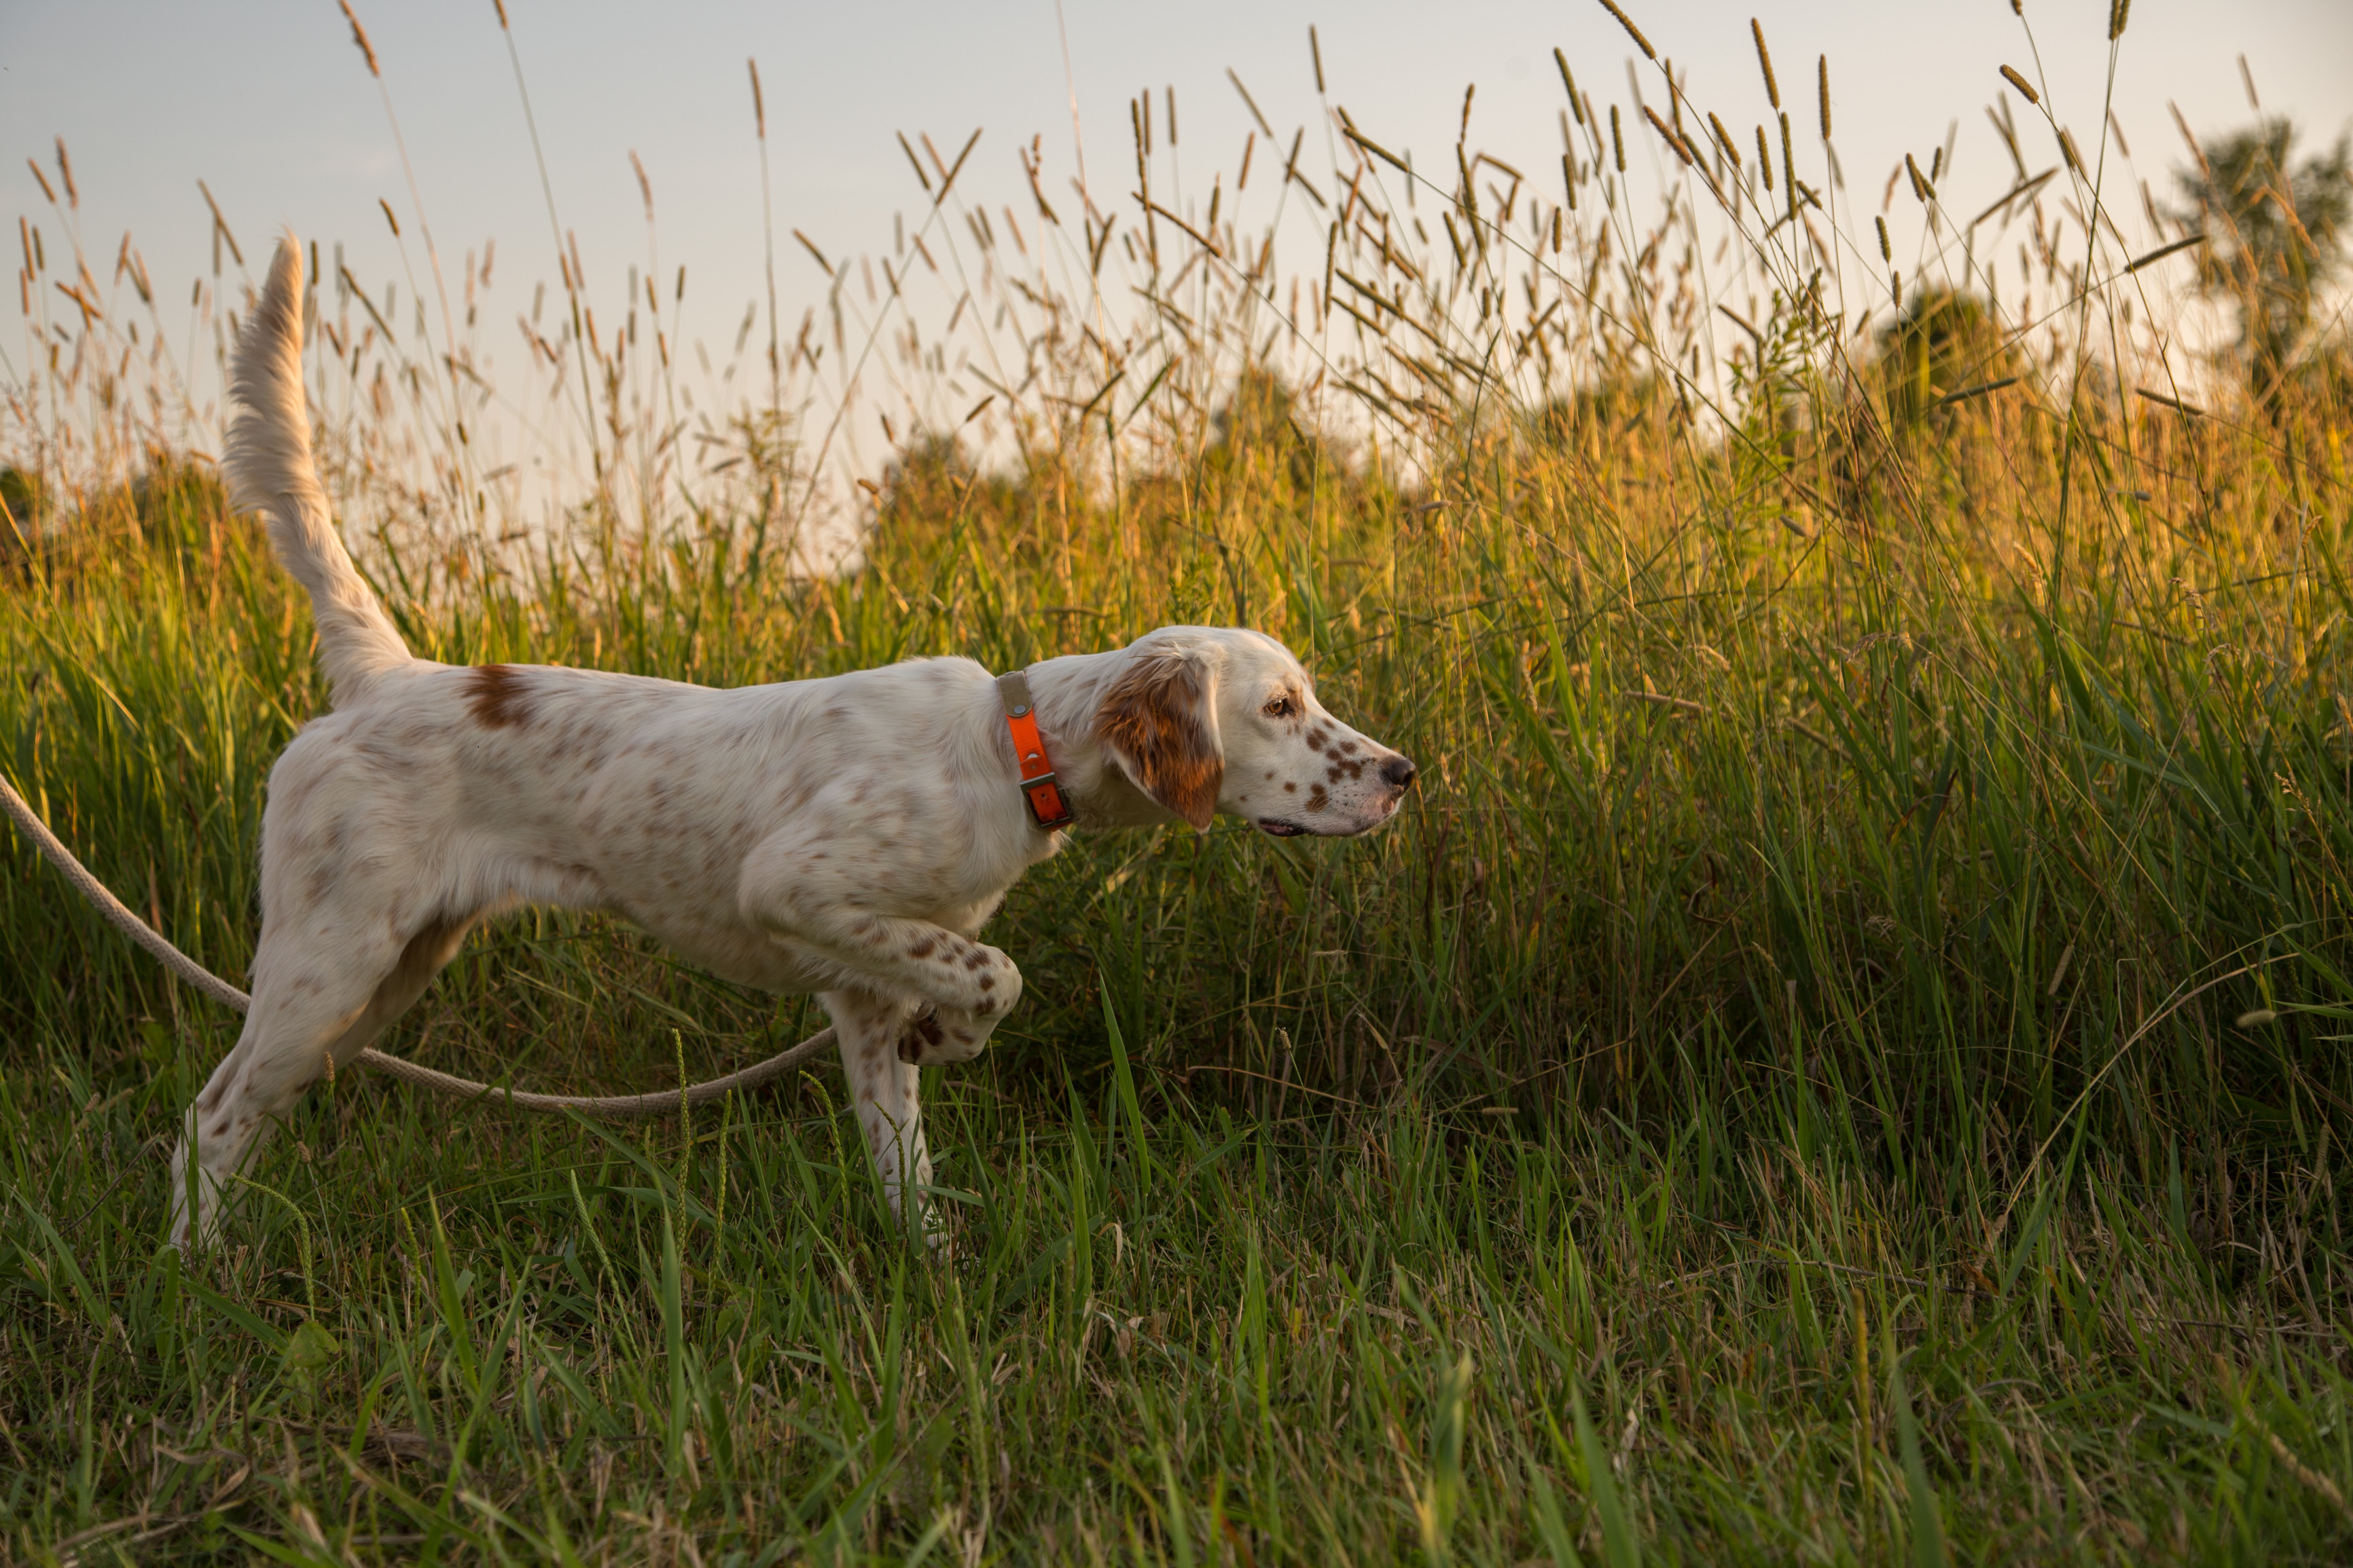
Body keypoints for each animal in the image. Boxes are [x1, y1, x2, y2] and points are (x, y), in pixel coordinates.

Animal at [170, 242, 1412, 1250]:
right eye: (1281, 706)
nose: (1403, 775)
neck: (1006, 751)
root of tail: (388, 674)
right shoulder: (795, 885)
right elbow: (997, 970)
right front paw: (957, 1034)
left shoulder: (863, 994)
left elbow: (909, 1165)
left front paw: (937, 1273)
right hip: (330, 958)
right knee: (210, 1111)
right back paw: (198, 1276)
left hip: (379, 980)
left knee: (242, 1108)